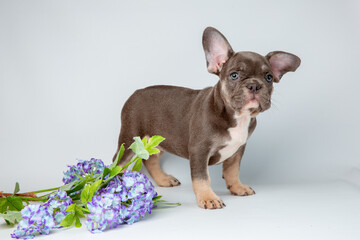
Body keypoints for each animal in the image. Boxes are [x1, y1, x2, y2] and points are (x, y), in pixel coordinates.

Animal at [113, 27, 300, 209]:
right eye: (234, 75)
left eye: (269, 78)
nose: (254, 85)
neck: (237, 116)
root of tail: (136, 92)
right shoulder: (199, 150)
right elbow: (202, 177)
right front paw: (208, 198)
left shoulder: (238, 149)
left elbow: (233, 170)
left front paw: (237, 187)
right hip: (129, 138)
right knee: (118, 163)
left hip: (160, 140)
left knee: (151, 160)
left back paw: (163, 179)